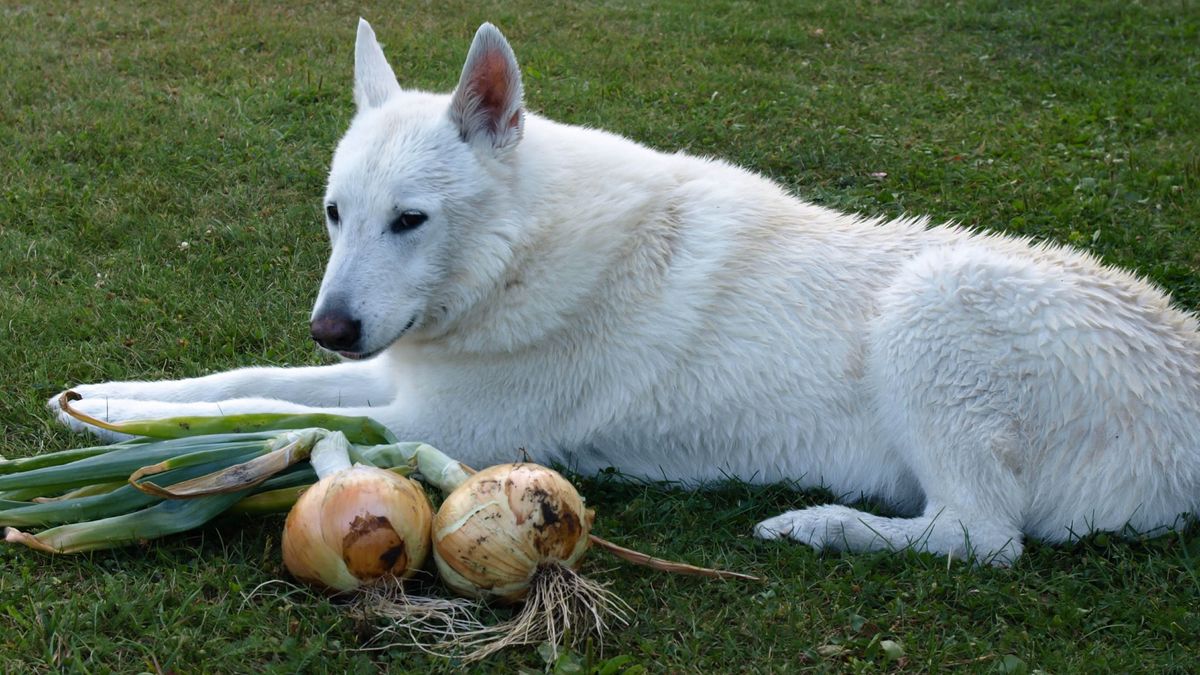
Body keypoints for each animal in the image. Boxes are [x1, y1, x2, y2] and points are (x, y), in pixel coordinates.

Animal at [54, 19, 1200, 562]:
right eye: (337, 215)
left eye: (409, 221)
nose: (333, 324)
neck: (520, 255)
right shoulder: (398, 379)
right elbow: (246, 382)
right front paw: (103, 404)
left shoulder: (441, 422)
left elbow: (265, 416)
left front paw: (129, 433)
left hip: (932, 306)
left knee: (984, 539)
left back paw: (817, 525)